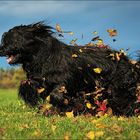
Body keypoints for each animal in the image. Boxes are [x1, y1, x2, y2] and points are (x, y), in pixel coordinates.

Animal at [0, 21, 139, 116]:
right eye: (5, 40)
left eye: (15, 39)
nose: (1, 50)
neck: (42, 57)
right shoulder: (39, 79)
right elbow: (28, 84)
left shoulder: (66, 80)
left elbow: (57, 92)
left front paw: (61, 105)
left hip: (118, 86)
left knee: (125, 99)